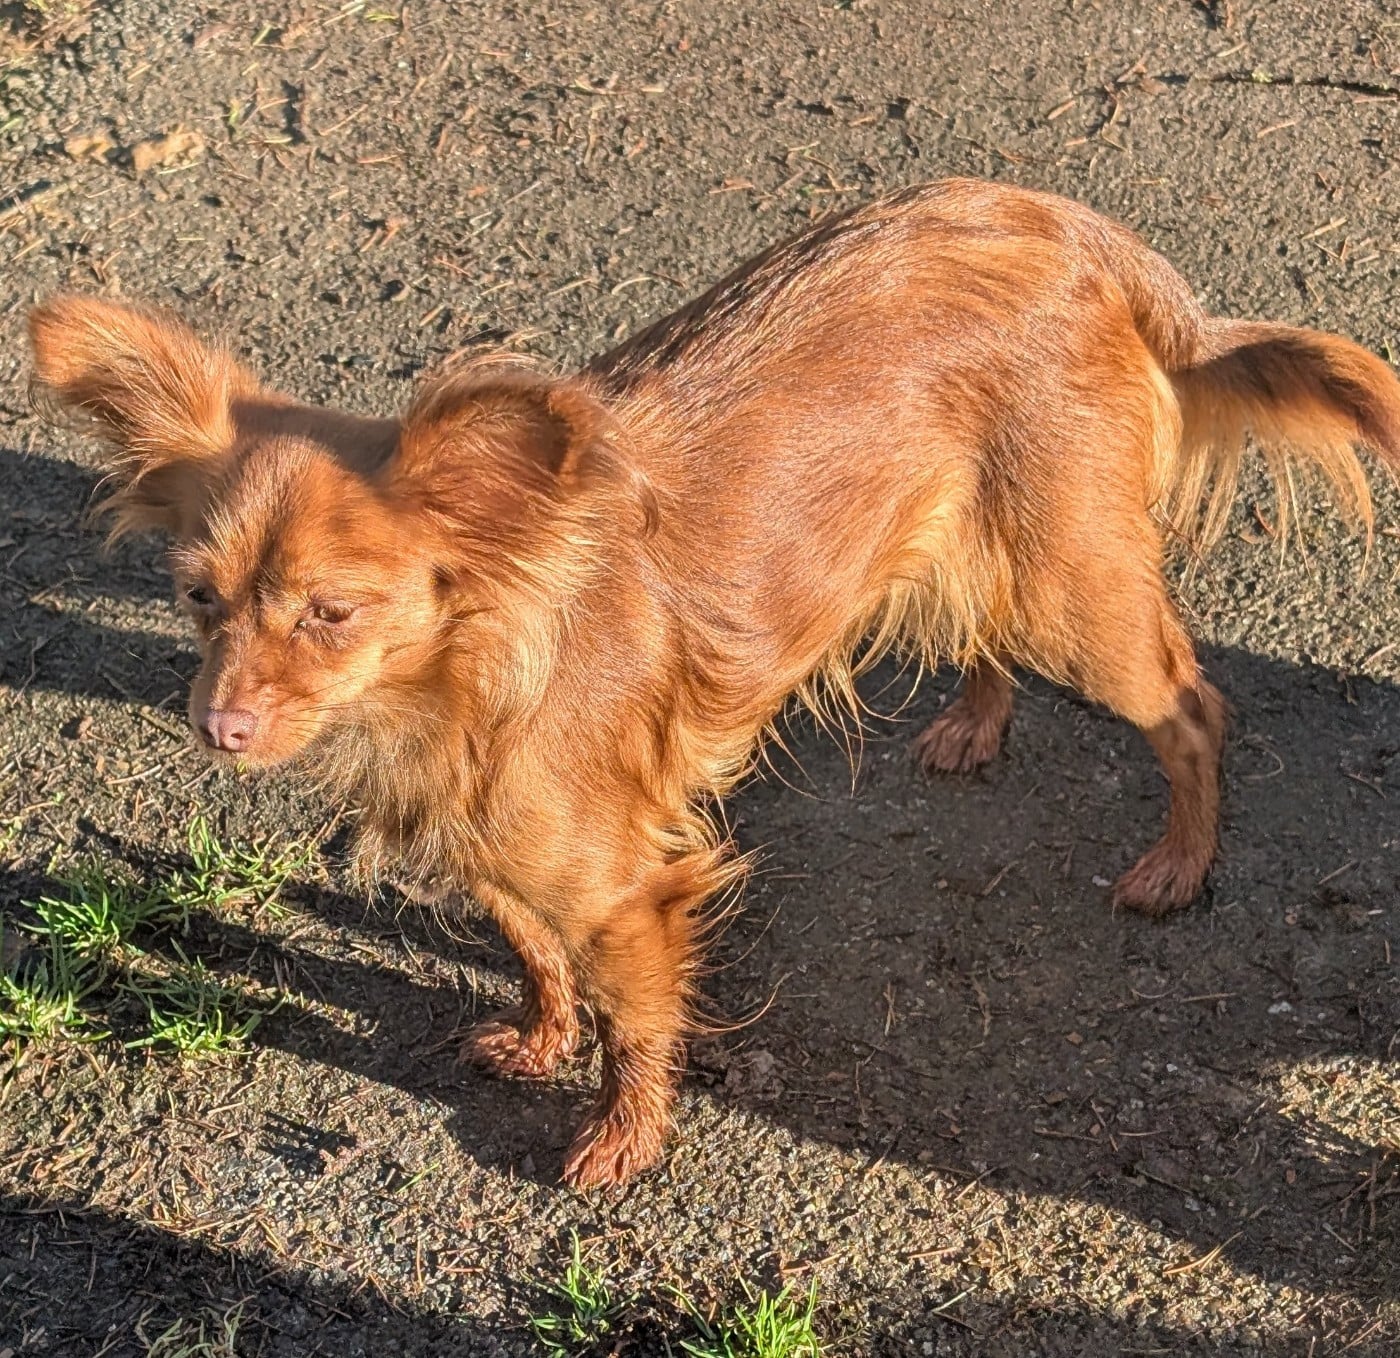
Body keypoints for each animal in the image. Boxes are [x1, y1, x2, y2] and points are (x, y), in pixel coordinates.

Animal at [30, 178, 1400, 1187]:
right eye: (199, 598)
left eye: (331, 613)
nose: (219, 725)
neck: (456, 682)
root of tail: (1065, 224)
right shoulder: (499, 848)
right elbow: (529, 945)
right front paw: (540, 1037)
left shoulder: (630, 888)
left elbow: (634, 1020)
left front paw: (621, 1139)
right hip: (974, 535)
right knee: (985, 627)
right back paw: (972, 720)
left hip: (1076, 591)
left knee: (1194, 707)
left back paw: (1179, 862)